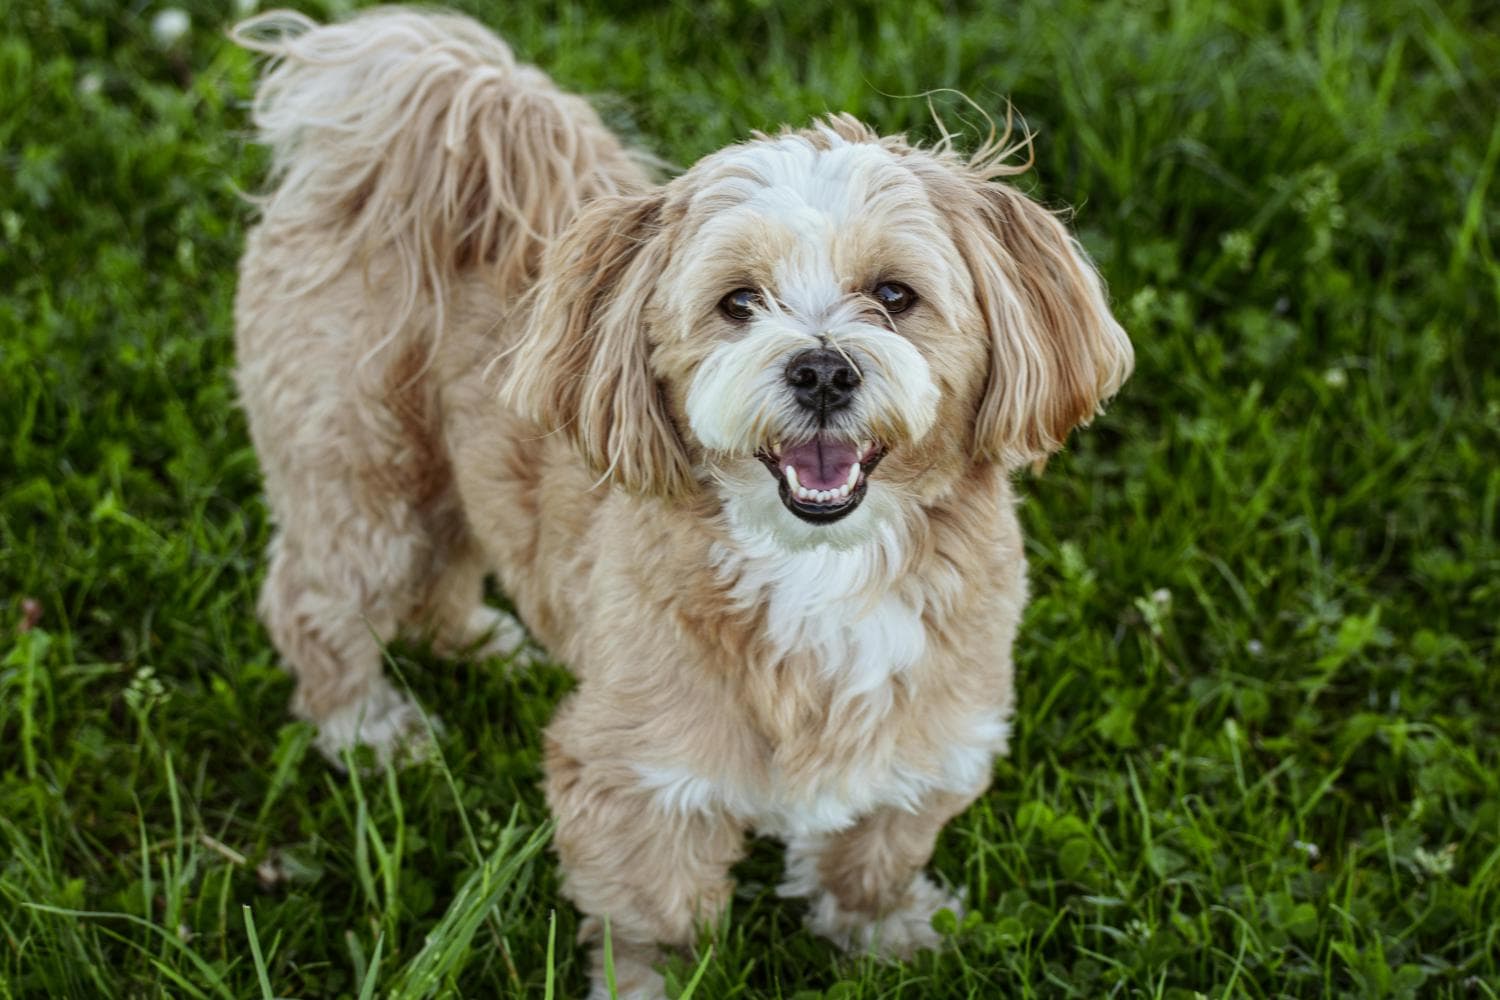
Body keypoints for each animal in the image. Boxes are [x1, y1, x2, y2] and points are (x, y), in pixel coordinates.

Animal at [231, 9, 1128, 1000]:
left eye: (895, 294)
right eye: (739, 302)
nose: (822, 368)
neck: (821, 570)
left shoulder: (928, 735)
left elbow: (875, 848)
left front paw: (882, 930)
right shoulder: (637, 773)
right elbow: (651, 913)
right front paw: (651, 980)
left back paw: (478, 643)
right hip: (362, 473)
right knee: (318, 601)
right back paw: (367, 728)